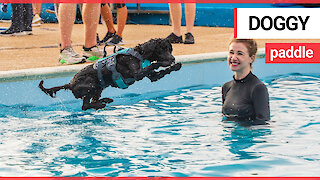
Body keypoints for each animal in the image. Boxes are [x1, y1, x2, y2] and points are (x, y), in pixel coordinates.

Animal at [38, 38, 181, 110]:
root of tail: (70, 84)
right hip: (91, 85)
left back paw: (105, 100)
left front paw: (176, 66)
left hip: (99, 88)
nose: (172, 58)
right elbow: (153, 65)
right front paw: (163, 62)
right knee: (85, 106)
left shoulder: (152, 77)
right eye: (162, 49)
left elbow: (161, 72)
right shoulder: (137, 74)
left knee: (91, 102)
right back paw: (102, 103)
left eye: (170, 49)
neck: (140, 54)